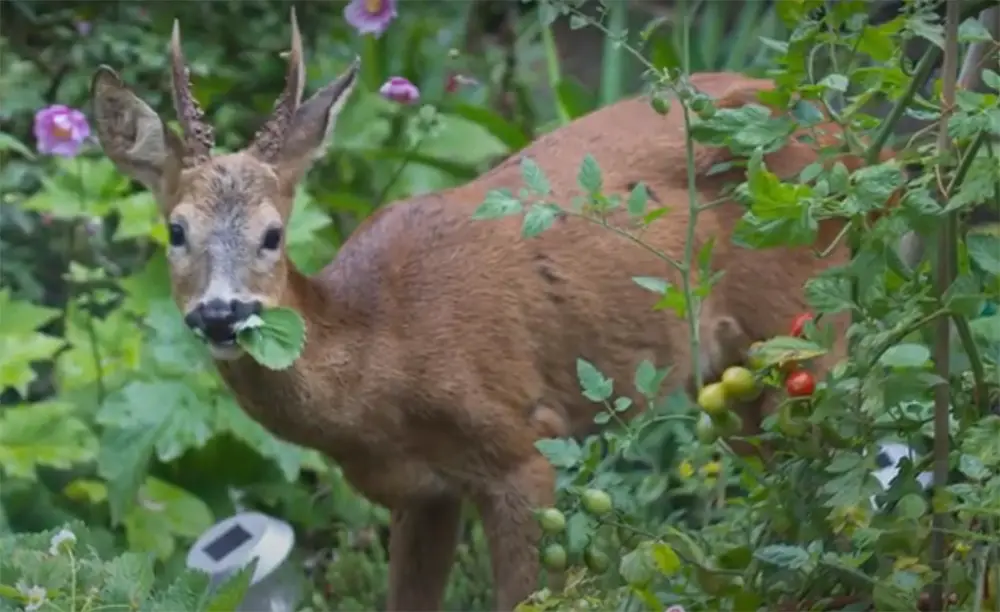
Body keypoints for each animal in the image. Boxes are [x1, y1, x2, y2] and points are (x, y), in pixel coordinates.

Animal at [88, 5, 900, 612]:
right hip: (735, 379)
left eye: (272, 234)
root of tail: (858, 143)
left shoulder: (523, 447)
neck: (384, 355)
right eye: (176, 230)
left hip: (808, 322)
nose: (222, 315)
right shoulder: (419, 494)